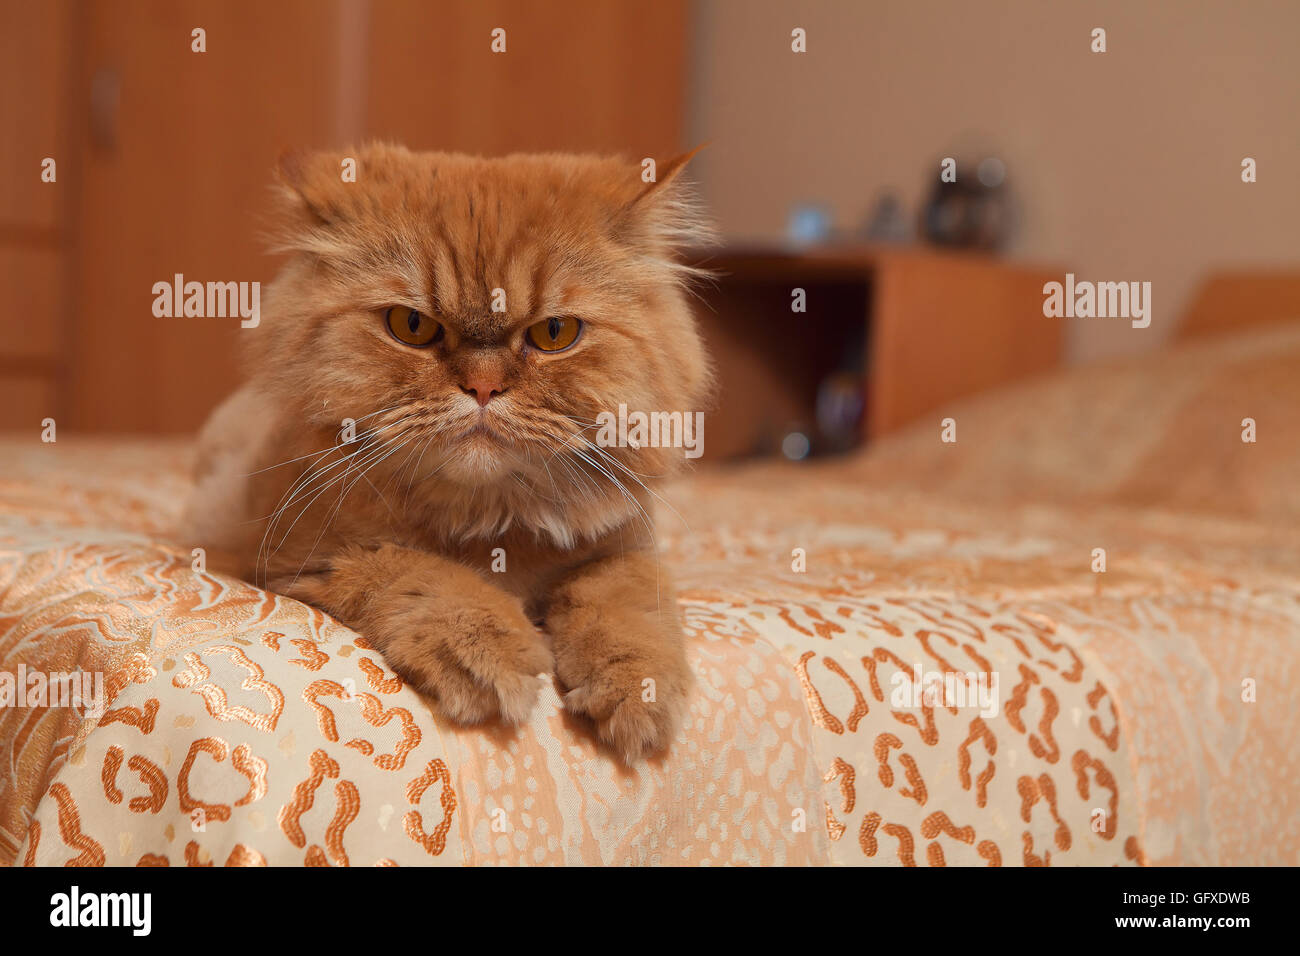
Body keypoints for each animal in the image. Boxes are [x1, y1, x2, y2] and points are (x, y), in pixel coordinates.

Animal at [185, 143, 712, 764]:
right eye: (411, 325)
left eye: (555, 333)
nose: (482, 387)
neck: (492, 518)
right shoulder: (299, 562)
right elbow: (425, 576)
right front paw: (490, 652)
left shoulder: (626, 546)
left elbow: (626, 605)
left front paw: (637, 695)